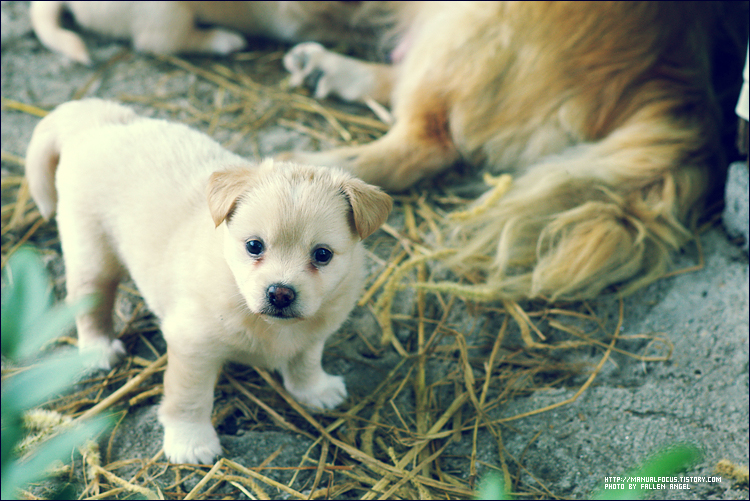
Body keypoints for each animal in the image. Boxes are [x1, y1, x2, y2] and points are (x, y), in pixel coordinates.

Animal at [24, 98, 394, 464]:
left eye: (322, 255)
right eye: (254, 246)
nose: (280, 294)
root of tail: (102, 121)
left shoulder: (314, 332)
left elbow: (306, 360)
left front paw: (315, 390)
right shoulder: (192, 347)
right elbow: (189, 398)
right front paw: (191, 442)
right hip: (93, 254)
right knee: (90, 301)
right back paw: (98, 349)